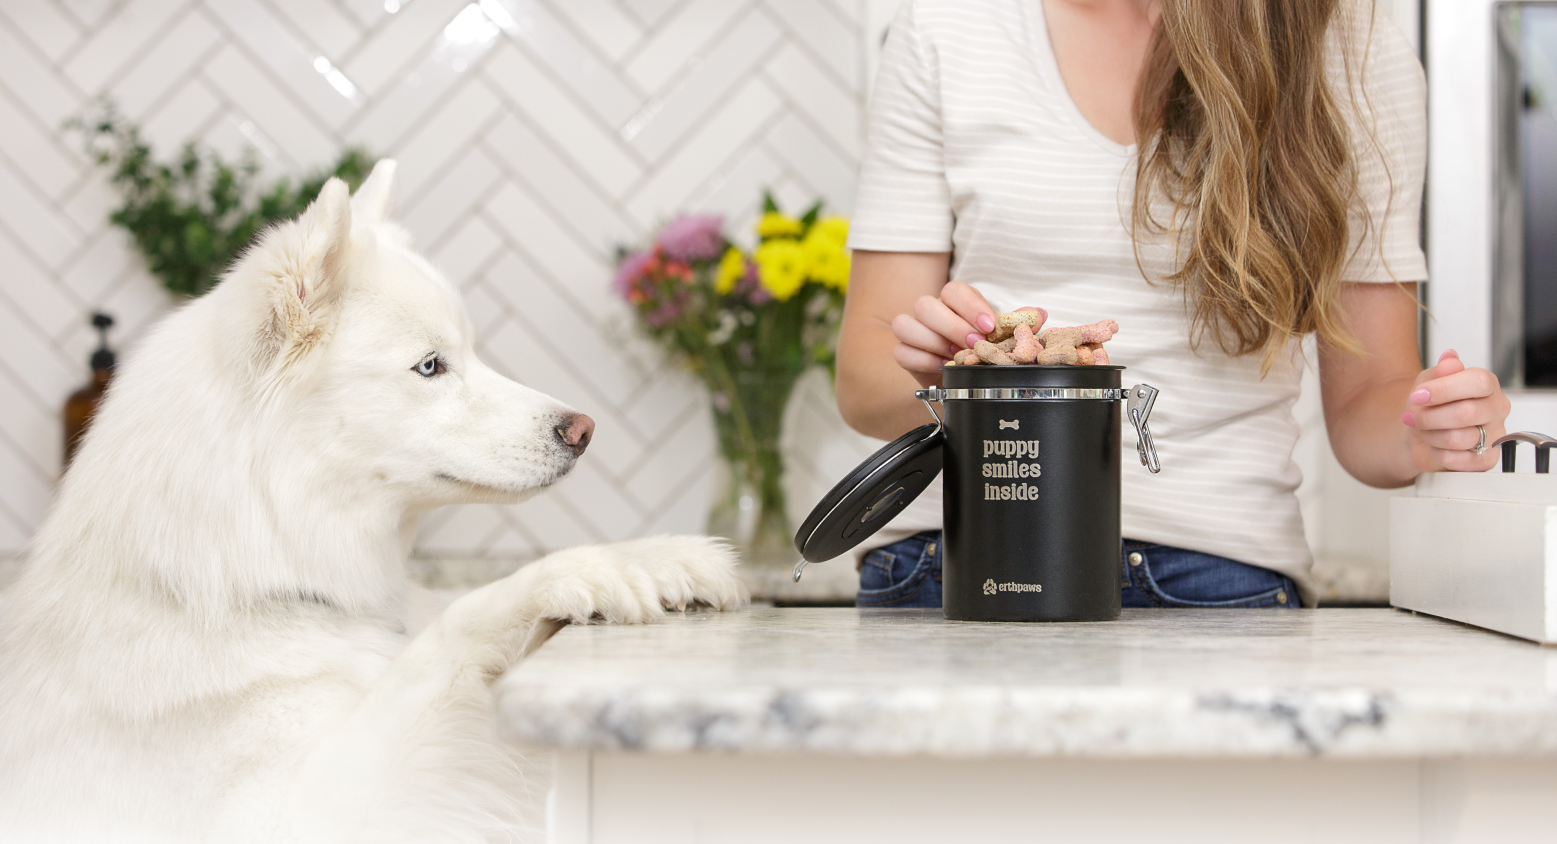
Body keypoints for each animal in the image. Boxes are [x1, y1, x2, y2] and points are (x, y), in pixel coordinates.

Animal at [0, 161, 747, 840]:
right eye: (430, 366)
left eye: (469, 352)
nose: (583, 430)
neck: (242, 582)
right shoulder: (304, 812)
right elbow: (464, 622)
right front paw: (599, 569)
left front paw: (661, 562)